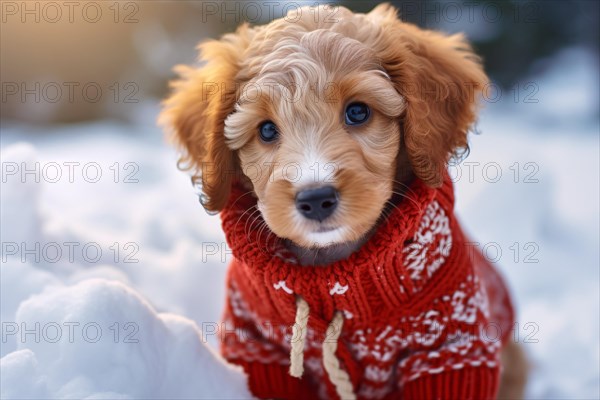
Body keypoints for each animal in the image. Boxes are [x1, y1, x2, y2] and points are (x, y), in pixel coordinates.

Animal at [161, 3, 524, 400]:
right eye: (267, 130)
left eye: (358, 112)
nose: (315, 198)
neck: (332, 266)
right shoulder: (258, 346)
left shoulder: (452, 346)